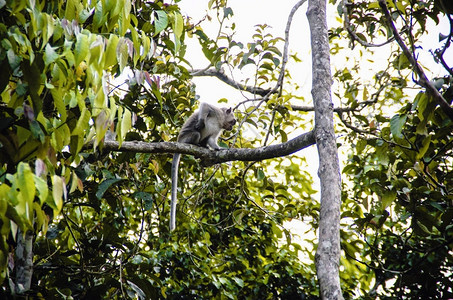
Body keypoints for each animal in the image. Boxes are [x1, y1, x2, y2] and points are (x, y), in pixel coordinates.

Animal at [170, 102, 237, 231]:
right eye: (232, 122)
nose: (231, 128)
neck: (220, 121)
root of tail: (179, 142)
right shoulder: (217, 112)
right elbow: (205, 106)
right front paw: (201, 121)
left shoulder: (219, 128)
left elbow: (211, 139)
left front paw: (217, 148)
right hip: (186, 138)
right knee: (196, 134)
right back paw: (196, 144)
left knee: (205, 138)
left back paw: (203, 147)